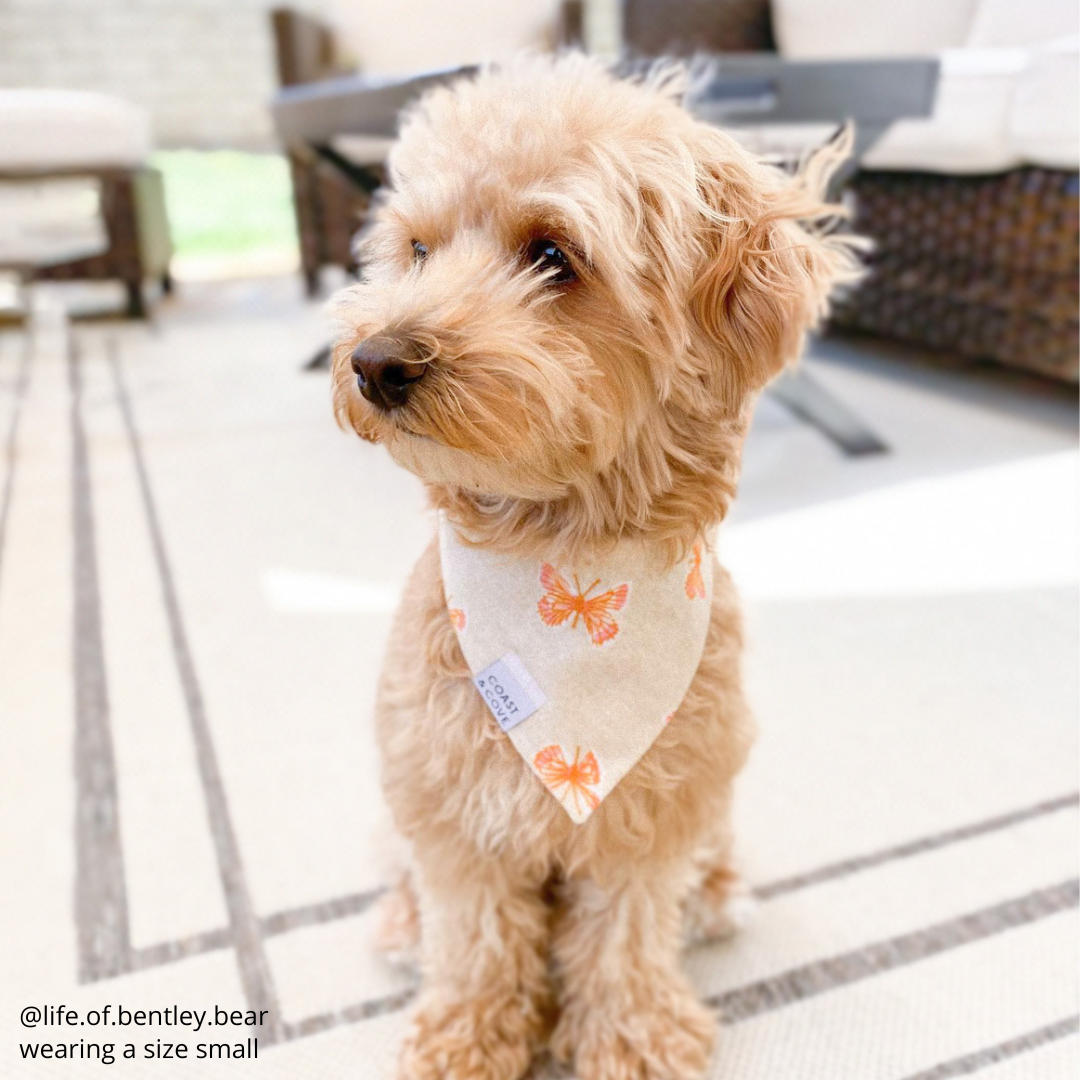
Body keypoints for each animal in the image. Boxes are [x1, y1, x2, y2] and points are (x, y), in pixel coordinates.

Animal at [328, 54, 859, 1080]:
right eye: (417, 249)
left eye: (551, 254)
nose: (375, 362)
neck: (560, 567)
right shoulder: (454, 809)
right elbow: (478, 937)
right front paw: (467, 1036)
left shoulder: (651, 817)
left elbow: (624, 934)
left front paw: (632, 1037)